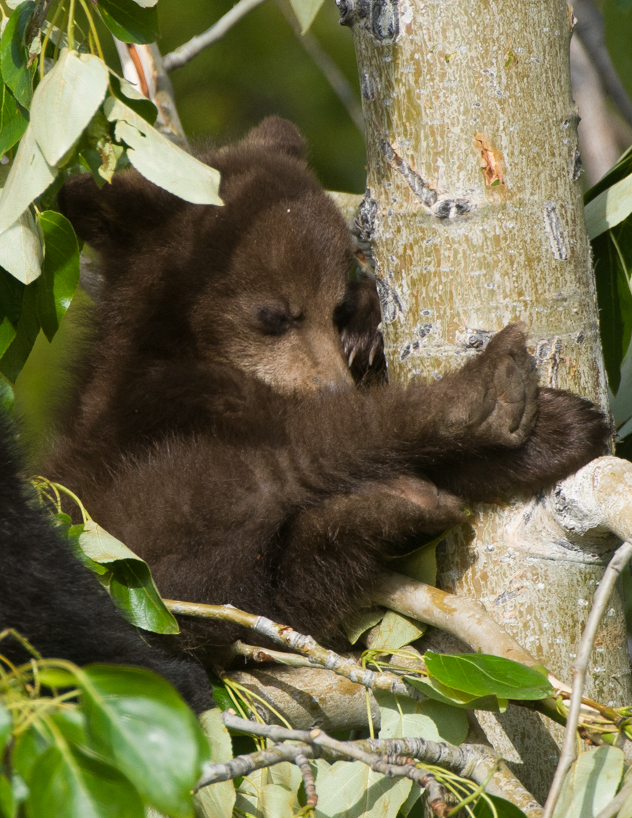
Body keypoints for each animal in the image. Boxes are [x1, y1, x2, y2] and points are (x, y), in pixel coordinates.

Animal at [47, 117, 609, 664]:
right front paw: (537, 430)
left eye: (336, 306)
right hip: (121, 544)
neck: (174, 345)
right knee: (263, 474)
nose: (332, 385)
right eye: (274, 315)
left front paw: (368, 335)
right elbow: (307, 431)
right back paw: (482, 404)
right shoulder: (154, 398)